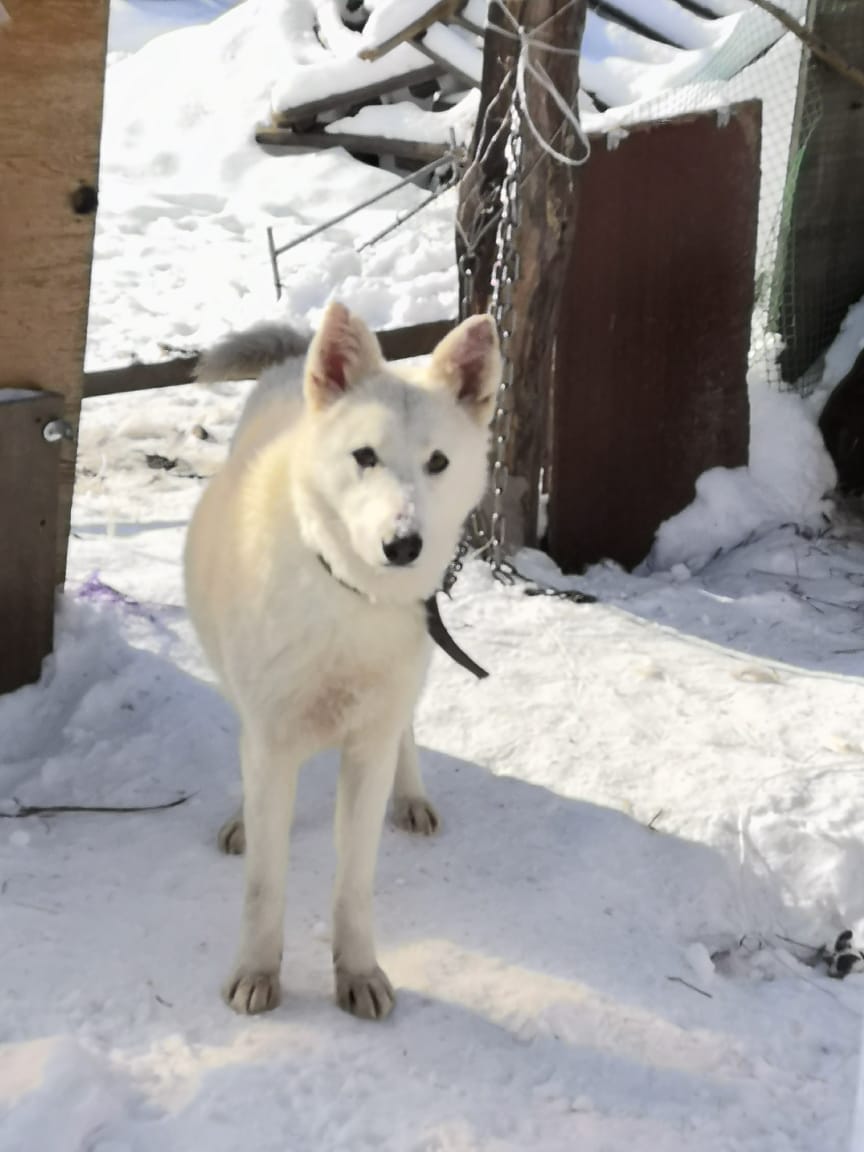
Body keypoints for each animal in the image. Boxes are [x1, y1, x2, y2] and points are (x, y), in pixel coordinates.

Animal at [186, 304, 504, 1018]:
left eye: (438, 462)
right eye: (365, 457)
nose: (404, 544)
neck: (347, 597)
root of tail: (295, 355)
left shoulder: (367, 747)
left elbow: (353, 884)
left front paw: (357, 972)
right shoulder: (272, 743)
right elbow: (265, 883)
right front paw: (257, 972)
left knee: (407, 731)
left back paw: (410, 797)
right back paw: (240, 815)